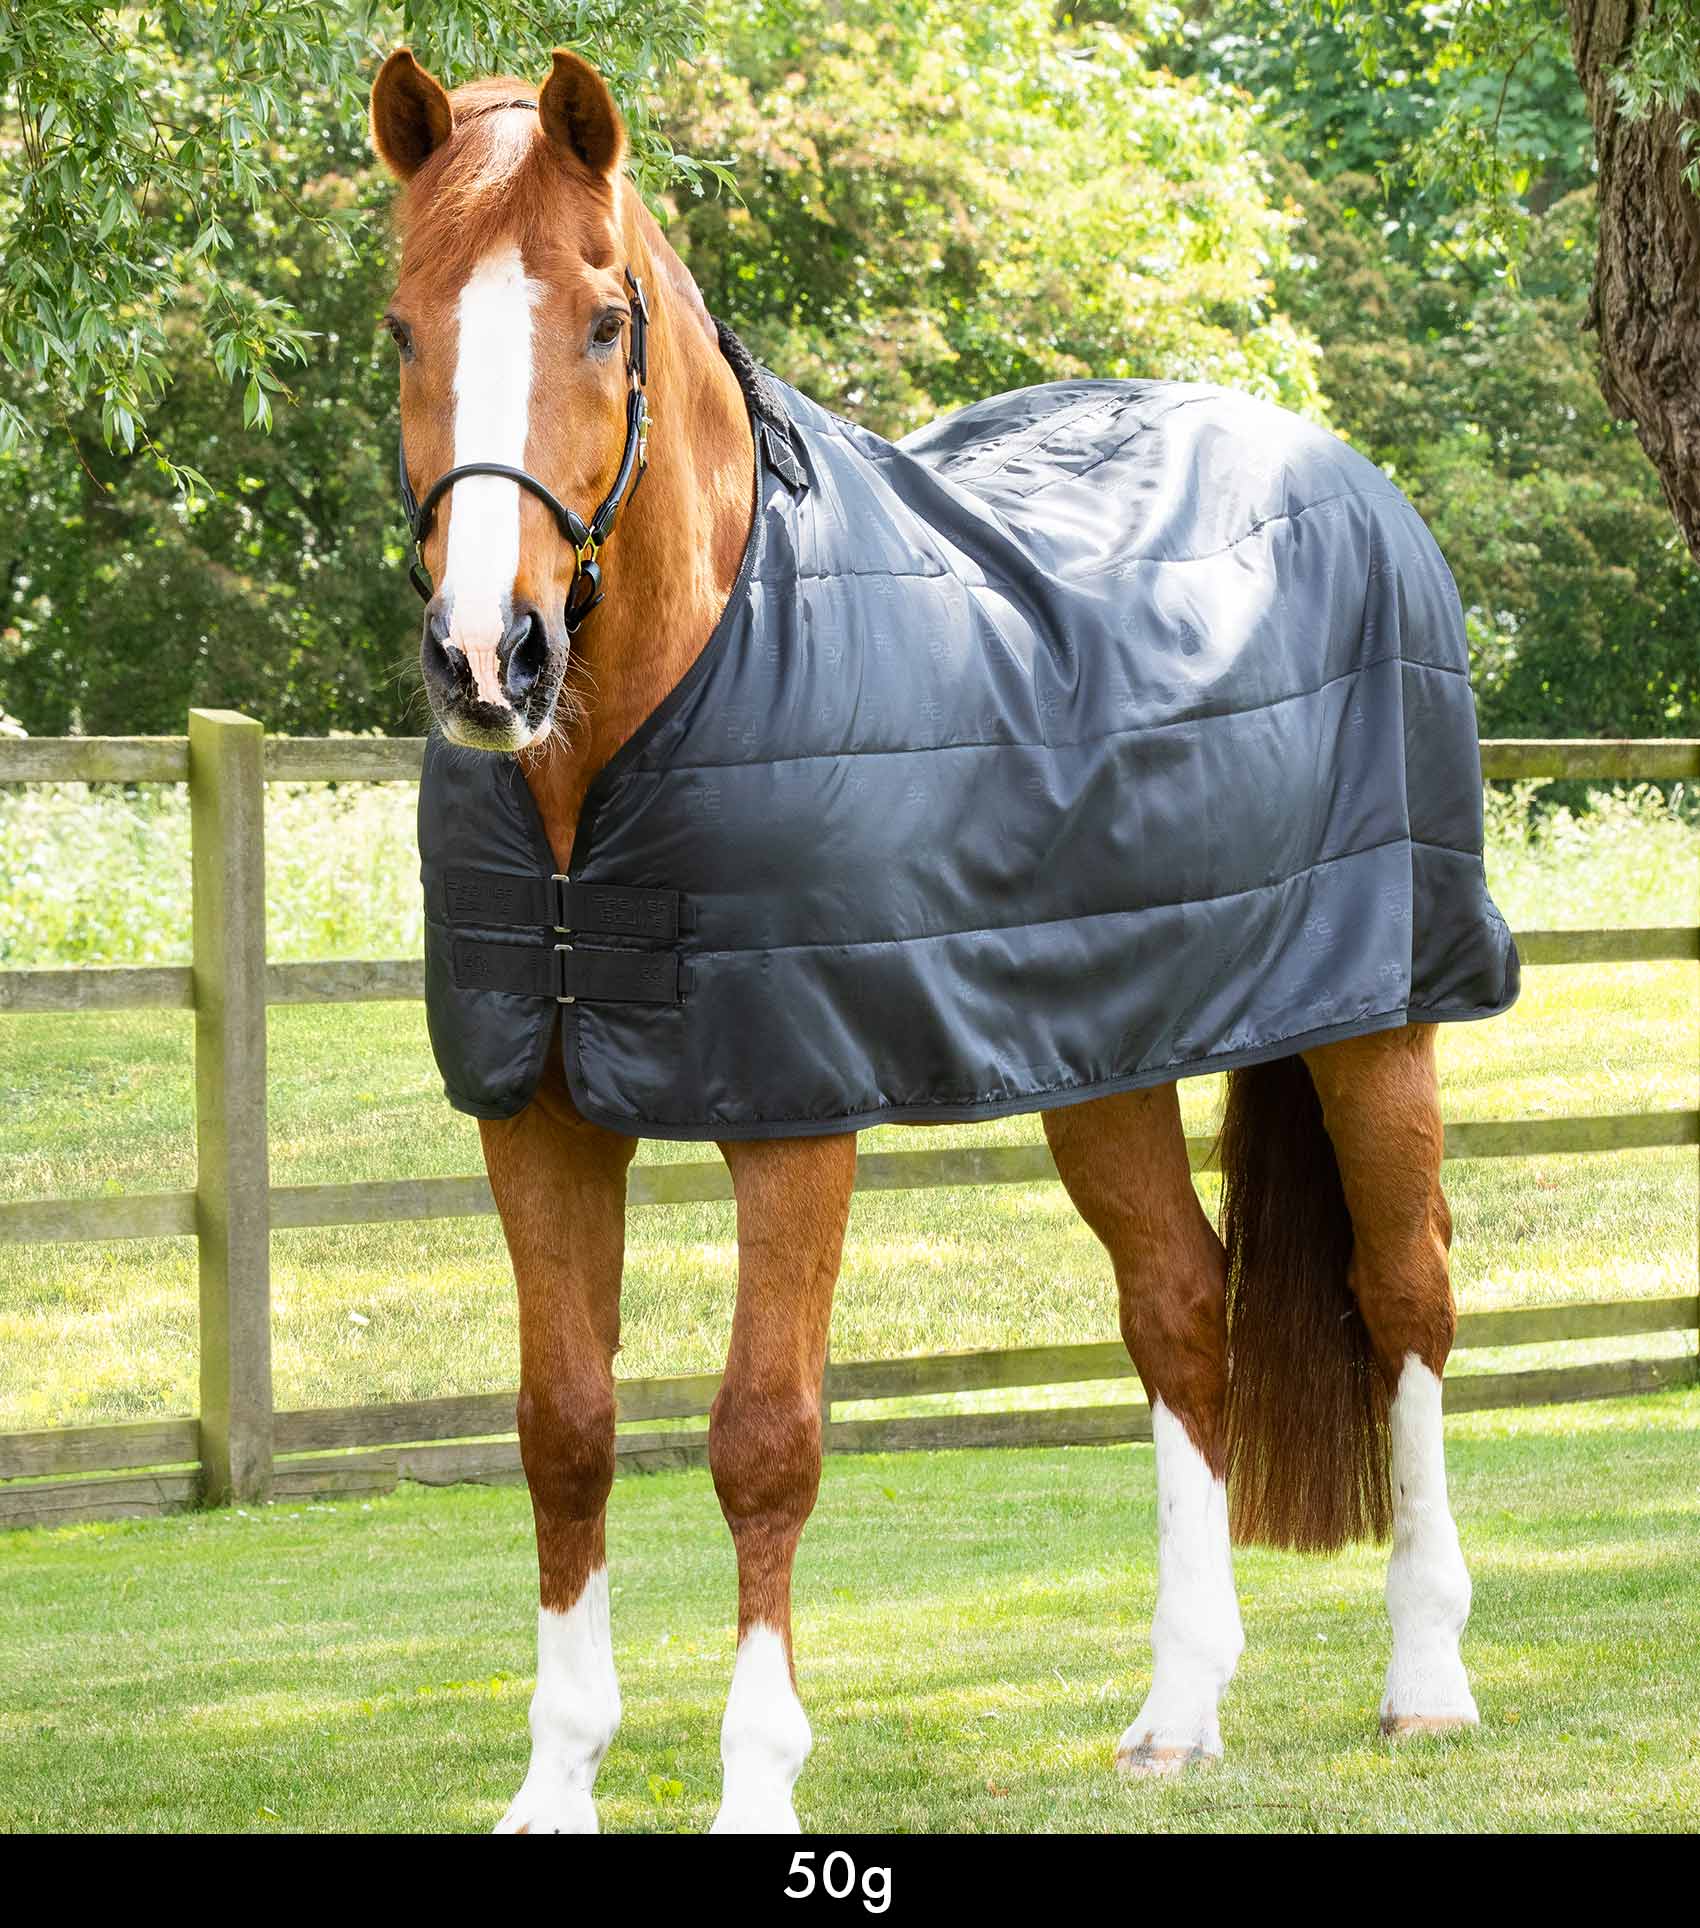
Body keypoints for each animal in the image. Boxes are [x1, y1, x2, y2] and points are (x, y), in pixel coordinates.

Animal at [369, 47, 1499, 1833]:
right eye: (408, 328)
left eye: (606, 321)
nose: (492, 657)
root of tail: (1346, 477)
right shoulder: (534, 1112)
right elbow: (564, 1430)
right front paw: (554, 1785)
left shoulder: (794, 1115)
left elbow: (764, 1438)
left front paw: (759, 1784)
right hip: (1103, 1050)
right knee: (1182, 1312)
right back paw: (1179, 1708)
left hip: (1376, 1019)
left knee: (1405, 1298)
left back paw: (1427, 1681)